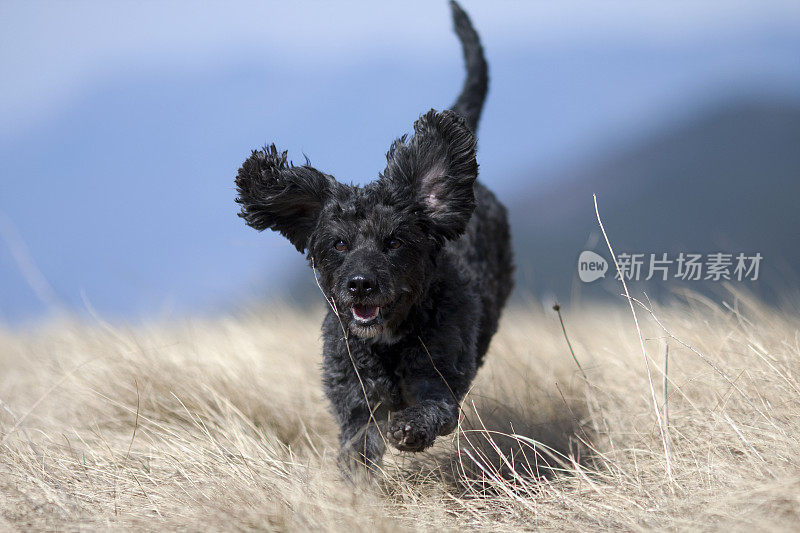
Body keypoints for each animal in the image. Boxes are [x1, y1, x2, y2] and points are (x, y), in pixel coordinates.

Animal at [234, 2, 510, 472]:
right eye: (339, 244)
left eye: (394, 242)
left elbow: (433, 408)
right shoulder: (354, 400)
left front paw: (410, 429)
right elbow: (356, 452)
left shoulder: (439, 376)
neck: (388, 342)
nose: (360, 284)